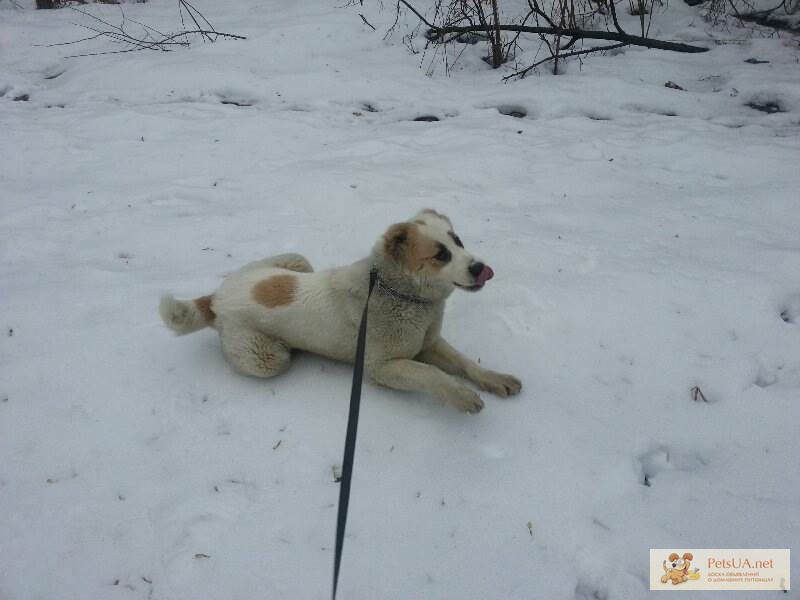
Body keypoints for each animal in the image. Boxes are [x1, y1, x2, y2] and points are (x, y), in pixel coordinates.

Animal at [159, 210, 520, 412]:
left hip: (297, 260)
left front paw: (494, 379)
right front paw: (461, 396)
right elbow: (432, 374)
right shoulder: (382, 367)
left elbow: (465, 363)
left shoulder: (429, 343)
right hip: (267, 357)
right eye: (440, 255)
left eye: (458, 241)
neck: (398, 292)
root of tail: (216, 297)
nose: (481, 268)